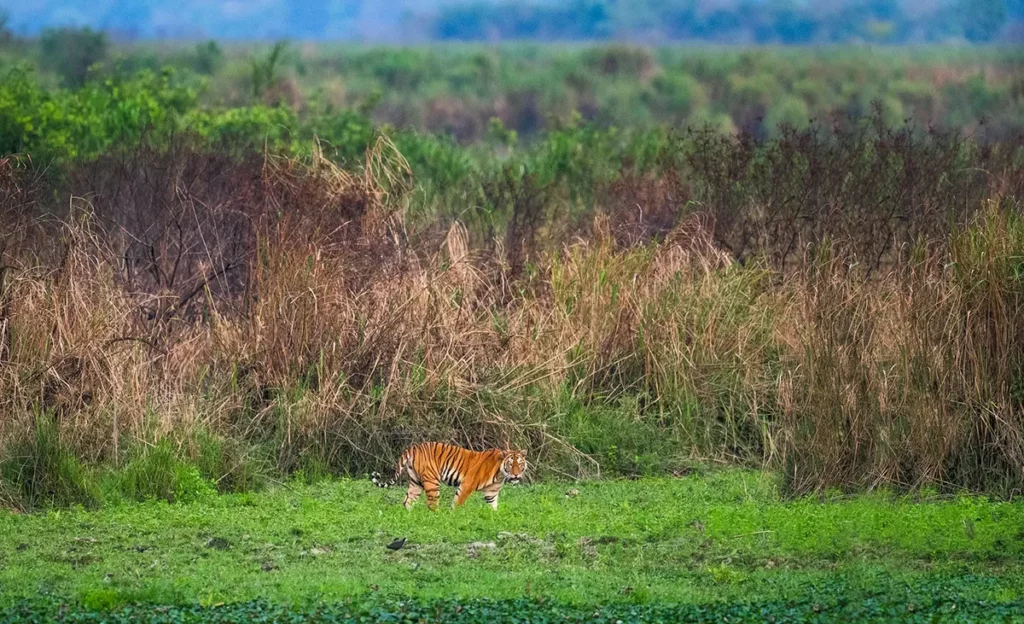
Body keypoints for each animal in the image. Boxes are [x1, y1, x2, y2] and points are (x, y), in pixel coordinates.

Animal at [370, 440, 528, 508]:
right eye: (511, 464)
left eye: (520, 464)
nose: (515, 475)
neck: (501, 474)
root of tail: (413, 447)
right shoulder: (466, 485)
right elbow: (457, 503)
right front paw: (453, 516)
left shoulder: (492, 493)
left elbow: (493, 508)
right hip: (432, 482)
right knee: (432, 504)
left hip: (415, 482)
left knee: (407, 501)